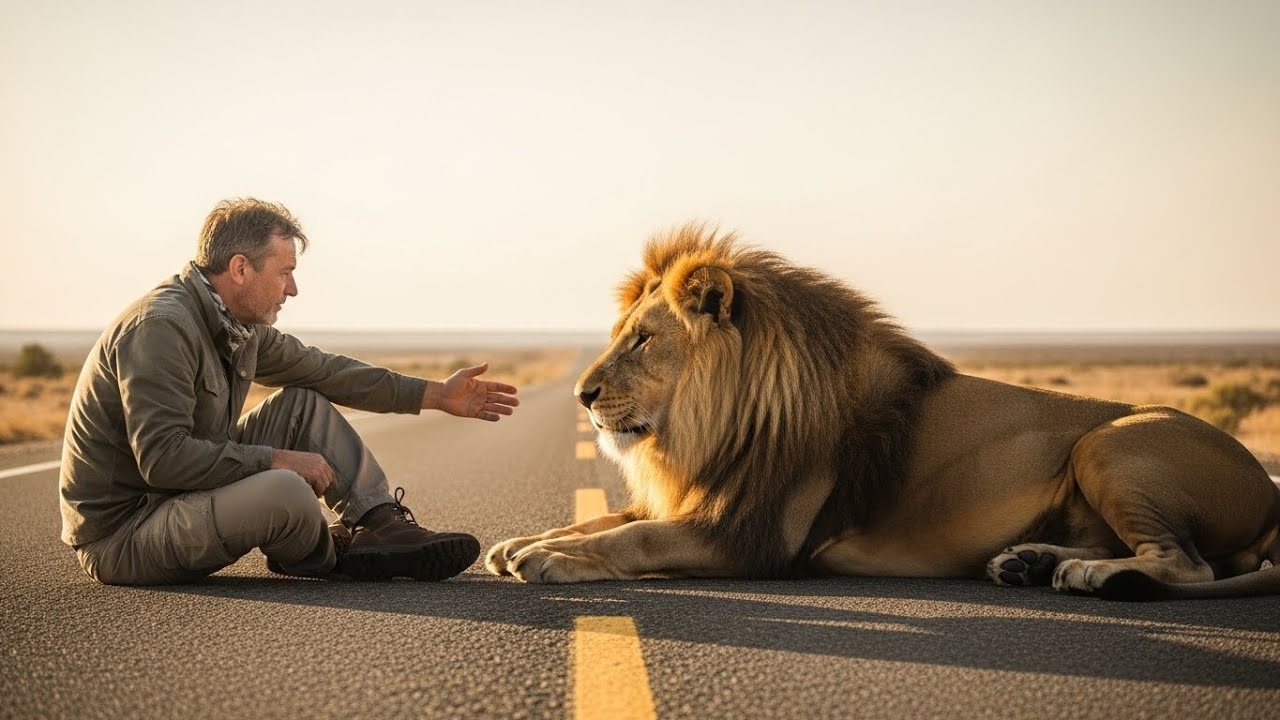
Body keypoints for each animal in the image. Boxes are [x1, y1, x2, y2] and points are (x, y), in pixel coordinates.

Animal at [487, 224, 1280, 600]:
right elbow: (601, 521)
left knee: (1189, 564)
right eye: (623, 334)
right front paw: (522, 541)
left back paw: (1091, 577)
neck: (713, 424)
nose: (582, 395)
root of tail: (1267, 492)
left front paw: (550, 559)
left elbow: (636, 539)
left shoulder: (749, 537)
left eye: (644, 339)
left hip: (1111, 442)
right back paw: (1030, 562)